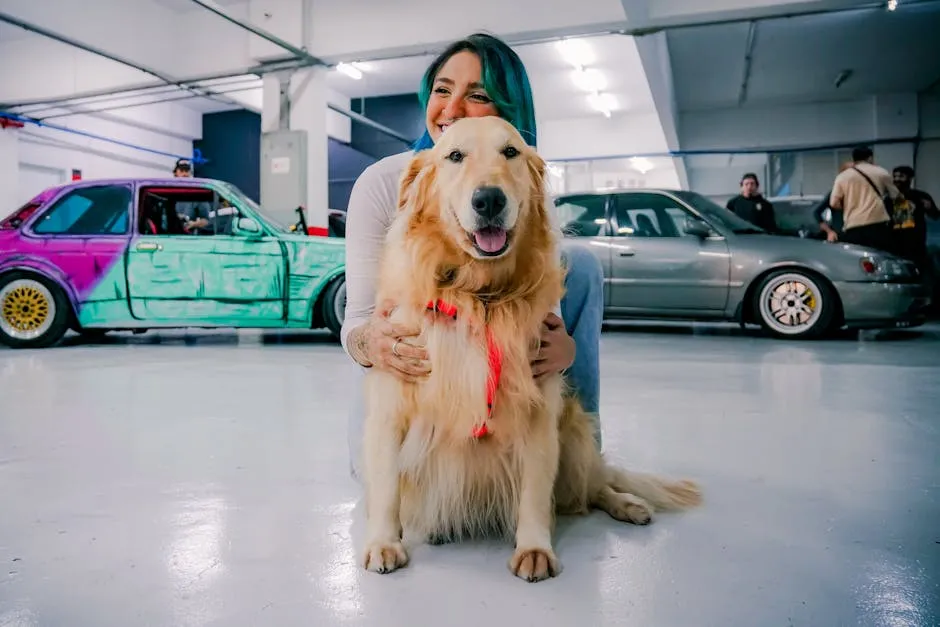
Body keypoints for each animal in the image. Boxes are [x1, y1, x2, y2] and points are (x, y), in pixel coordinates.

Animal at [364, 116, 700, 584]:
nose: (489, 199)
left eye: (510, 152)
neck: (480, 297)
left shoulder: (541, 411)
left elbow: (535, 492)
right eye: (454, 155)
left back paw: (627, 504)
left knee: (595, 485)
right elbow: (386, 485)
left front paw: (535, 548)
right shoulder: (392, 405)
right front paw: (383, 540)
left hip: (574, 432)